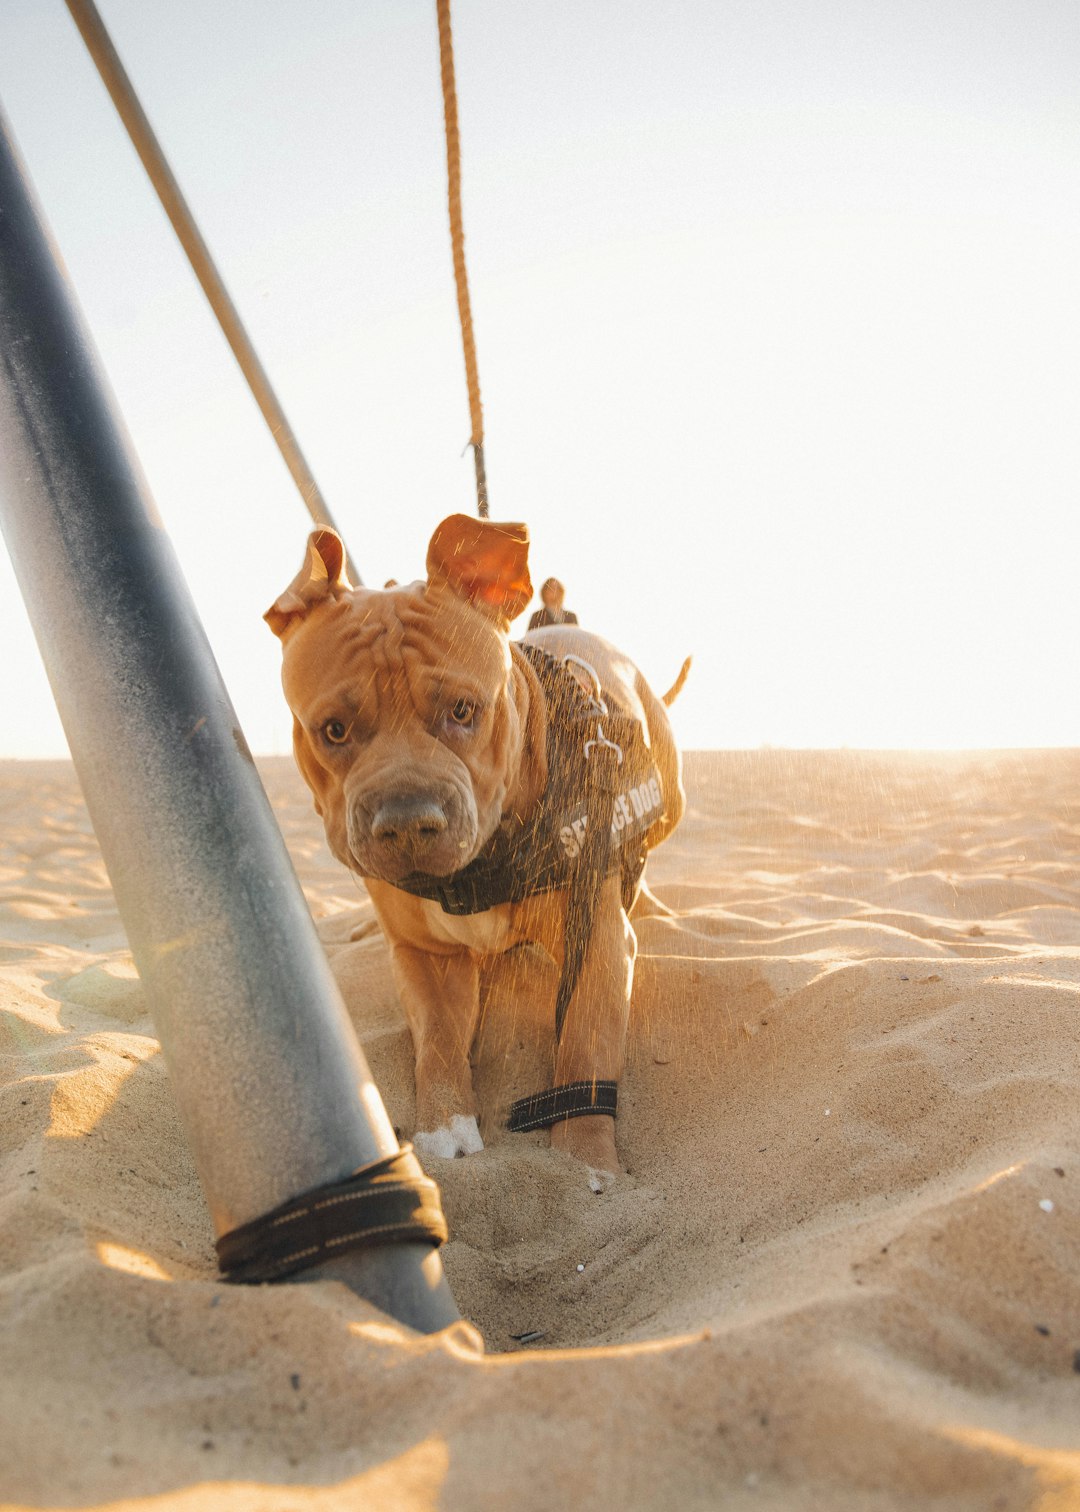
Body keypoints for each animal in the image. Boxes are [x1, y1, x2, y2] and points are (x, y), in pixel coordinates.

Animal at [267, 514, 680, 1173]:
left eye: (464, 710)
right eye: (333, 730)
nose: (407, 820)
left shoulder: (596, 945)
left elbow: (584, 1053)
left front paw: (584, 1161)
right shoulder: (427, 958)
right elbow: (437, 1043)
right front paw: (445, 1131)